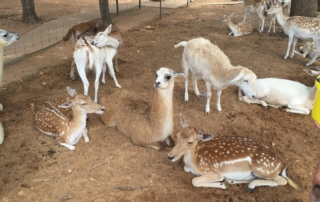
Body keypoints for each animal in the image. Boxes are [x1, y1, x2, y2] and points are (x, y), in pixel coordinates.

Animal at [168, 114, 300, 192]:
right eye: (177, 135)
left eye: (190, 142)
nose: (170, 156)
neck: (194, 162)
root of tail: (282, 164)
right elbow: (186, 170)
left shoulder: (214, 171)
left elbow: (195, 181)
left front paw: (221, 184)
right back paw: (233, 181)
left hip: (263, 169)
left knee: (281, 181)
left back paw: (249, 185)